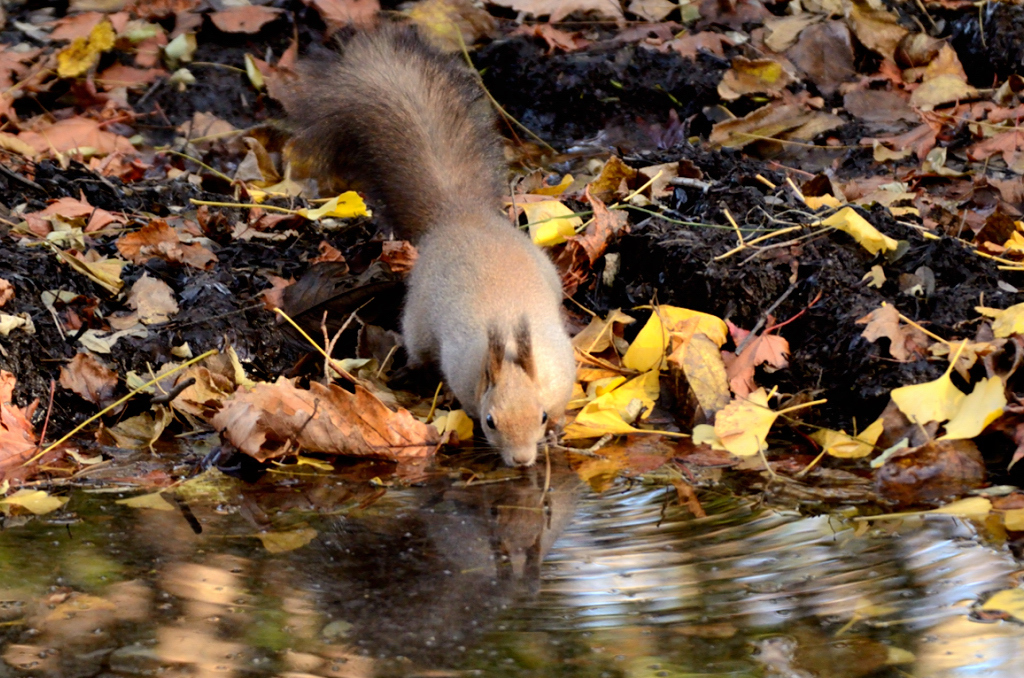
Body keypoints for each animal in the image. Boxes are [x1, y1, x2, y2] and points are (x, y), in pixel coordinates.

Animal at [284, 22, 581, 467]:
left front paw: (558, 431)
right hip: (420, 318)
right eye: (490, 422)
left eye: (542, 414)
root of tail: (460, 215)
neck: (510, 344)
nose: (522, 461)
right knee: (419, 349)